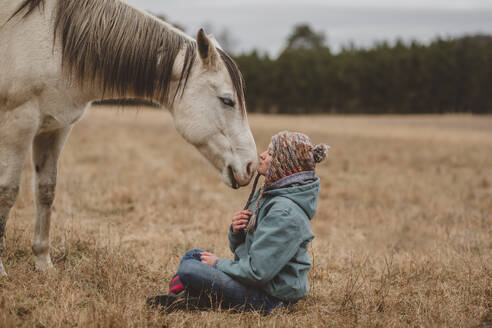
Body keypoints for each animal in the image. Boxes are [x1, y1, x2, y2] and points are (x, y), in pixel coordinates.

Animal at [0, 0, 260, 276]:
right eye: (227, 100)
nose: (250, 165)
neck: (56, 40)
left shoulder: (55, 129)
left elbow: (46, 191)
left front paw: (43, 264)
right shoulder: (18, 123)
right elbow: (7, 191)